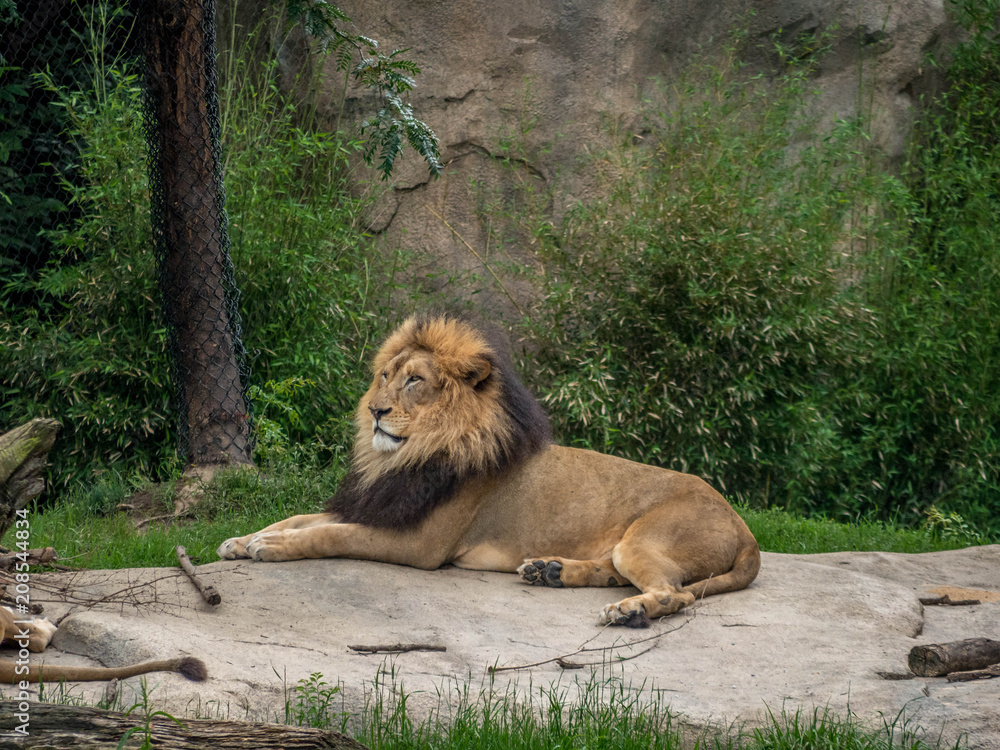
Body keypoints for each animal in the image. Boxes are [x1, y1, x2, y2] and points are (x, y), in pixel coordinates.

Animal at [218, 314, 760, 626]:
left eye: (414, 381)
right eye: (384, 376)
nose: (374, 410)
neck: (404, 457)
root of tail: (744, 528)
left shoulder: (420, 545)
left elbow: (330, 534)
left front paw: (271, 547)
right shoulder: (379, 503)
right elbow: (301, 518)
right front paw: (244, 539)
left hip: (643, 540)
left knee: (675, 593)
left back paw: (631, 611)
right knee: (625, 575)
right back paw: (551, 570)